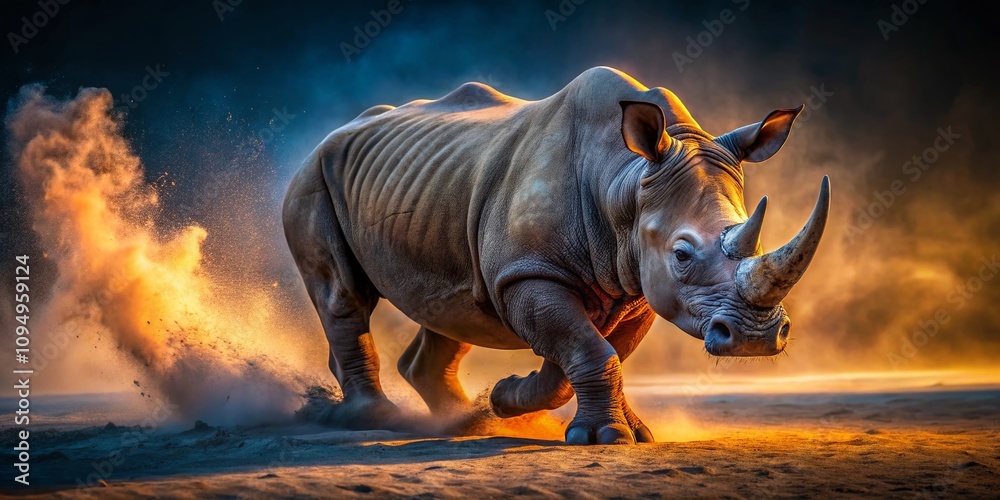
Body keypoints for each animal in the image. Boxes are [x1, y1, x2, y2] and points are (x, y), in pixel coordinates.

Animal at [282, 67, 830, 444]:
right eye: (682, 254)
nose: (755, 339)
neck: (625, 179)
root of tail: (333, 134)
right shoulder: (526, 274)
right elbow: (590, 349)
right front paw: (598, 435)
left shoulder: (634, 288)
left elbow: (595, 352)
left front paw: (512, 399)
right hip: (313, 176)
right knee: (343, 296)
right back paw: (375, 418)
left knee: (449, 309)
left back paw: (468, 423)